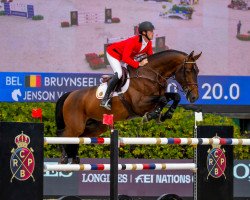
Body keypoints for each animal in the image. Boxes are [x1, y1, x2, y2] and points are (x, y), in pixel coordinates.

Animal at [54, 49, 201, 163]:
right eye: (188, 70)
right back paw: (64, 157)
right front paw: (153, 115)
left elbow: (174, 97)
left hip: (95, 126)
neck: (150, 74)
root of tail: (70, 94)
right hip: (76, 126)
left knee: (77, 138)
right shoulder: (139, 104)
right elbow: (163, 99)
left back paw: (74, 158)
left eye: (197, 71)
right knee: (63, 135)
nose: (194, 97)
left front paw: (166, 114)